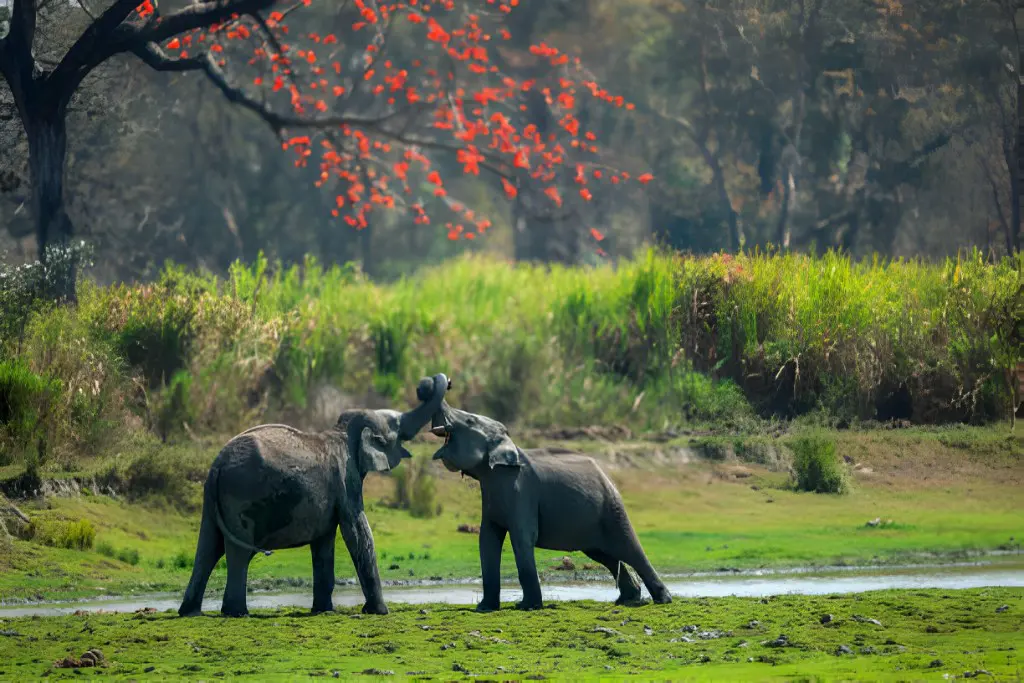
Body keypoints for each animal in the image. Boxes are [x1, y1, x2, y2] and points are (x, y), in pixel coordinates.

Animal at [177, 373, 450, 618]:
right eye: (397, 428)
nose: (428, 384)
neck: (343, 431)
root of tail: (217, 466)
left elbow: (324, 543)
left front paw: (323, 610)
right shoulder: (345, 479)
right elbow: (357, 533)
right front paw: (380, 612)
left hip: (214, 499)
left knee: (209, 548)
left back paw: (190, 612)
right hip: (240, 495)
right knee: (237, 551)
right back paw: (236, 613)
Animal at [428, 400, 672, 612]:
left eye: (469, 420)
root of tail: (608, 476)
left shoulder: (521, 491)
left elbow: (522, 538)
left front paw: (527, 607)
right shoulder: (491, 495)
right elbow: (487, 540)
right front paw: (484, 608)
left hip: (612, 509)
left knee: (629, 549)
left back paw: (663, 599)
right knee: (605, 555)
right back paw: (627, 599)